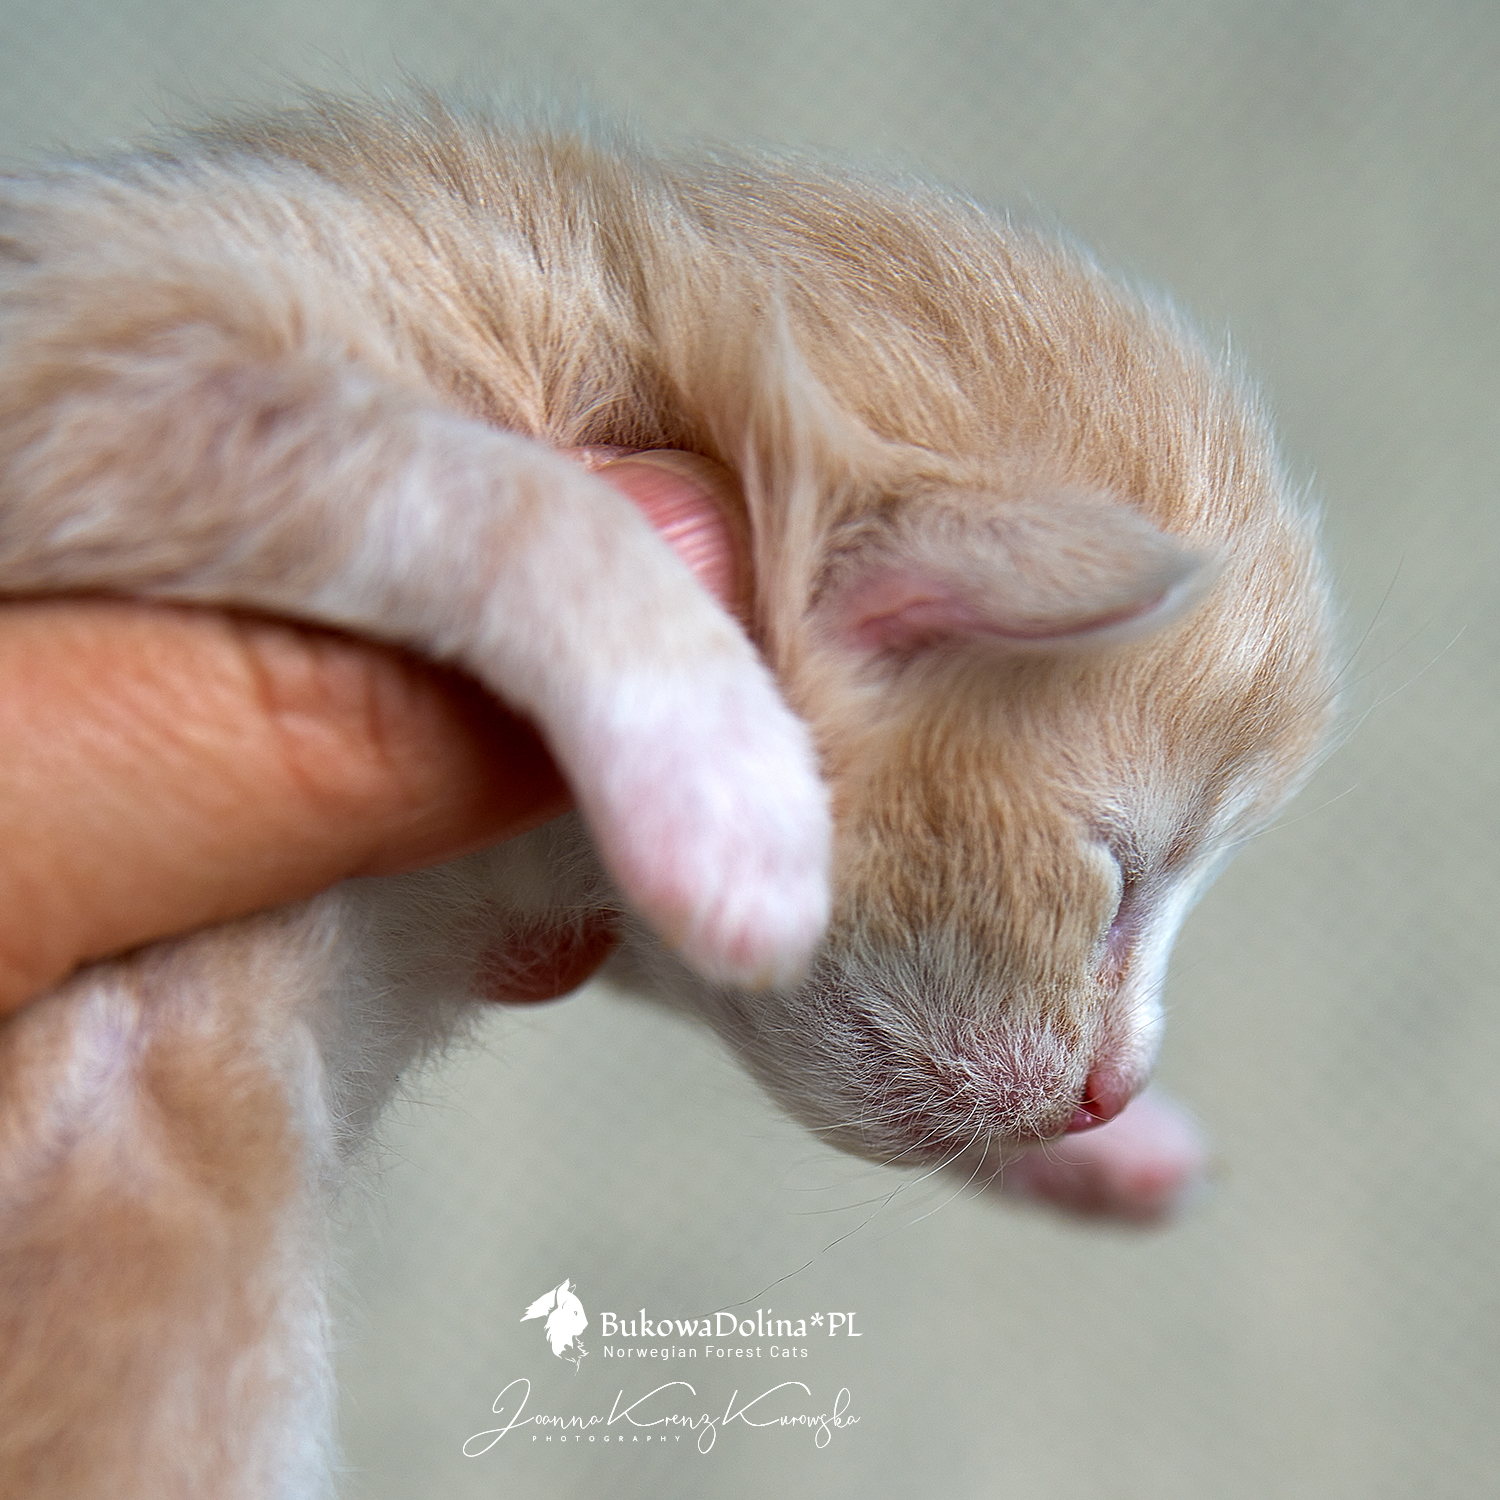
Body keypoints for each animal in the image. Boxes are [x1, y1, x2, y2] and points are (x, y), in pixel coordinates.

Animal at [0, 93, 1335, 1497]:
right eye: (1121, 876)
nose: (1114, 1093)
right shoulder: (119, 347)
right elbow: (511, 490)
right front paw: (731, 802)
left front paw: (1124, 1154)